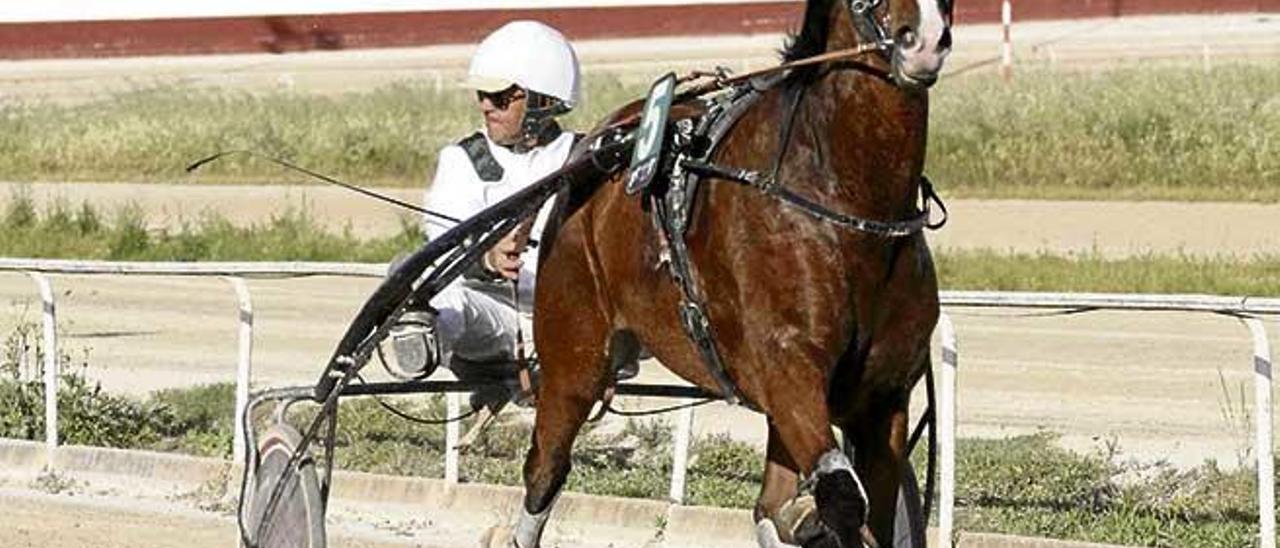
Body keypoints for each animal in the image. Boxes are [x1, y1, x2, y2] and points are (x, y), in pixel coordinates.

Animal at [488, 2, 952, 545]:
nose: (923, 40)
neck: (849, 204)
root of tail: (601, 144)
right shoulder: (789, 371)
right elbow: (840, 498)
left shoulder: (882, 400)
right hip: (573, 355)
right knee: (546, 468)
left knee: (769, 505)